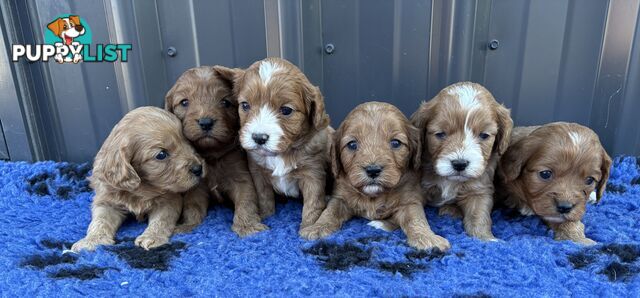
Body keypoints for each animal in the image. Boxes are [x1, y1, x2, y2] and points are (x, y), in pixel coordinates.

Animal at [71, 107, 204, 251]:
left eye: (187, 142)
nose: (199, 168)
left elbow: (161, 220)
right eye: (161, 154)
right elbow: (99, 221)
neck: (142, 187)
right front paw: (91, 240)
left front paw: (152, 237)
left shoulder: (169, 199)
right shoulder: (106, 200)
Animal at [165, 66, 268, 236]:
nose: (205, 122)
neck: (212, 155)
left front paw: (247, 226)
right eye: (184, 102)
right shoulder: (197, 187)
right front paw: (188, 225)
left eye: (225, 102)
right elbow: (192, 206)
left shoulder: (241, 177)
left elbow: (246, 200)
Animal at [216, 57, 336, 234]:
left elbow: (312, 202)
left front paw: (309, 225)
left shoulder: (312, 172)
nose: (258, 138)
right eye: (245, 105)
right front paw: (266, 215)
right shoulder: (257, 171)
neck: (281, 153)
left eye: (286, 110)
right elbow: (263, 196)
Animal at [300, 102, 450, 251]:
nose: (372, 170)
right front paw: (317, 227)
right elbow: (330, 212)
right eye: (352, 144)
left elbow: (416, 219)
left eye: (396, 143)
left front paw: (427, 237)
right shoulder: (340, 198)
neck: (373, 196)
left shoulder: (410, 200)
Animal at [410, 81, 516, 240]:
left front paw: (486, 238)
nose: (460, 164)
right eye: (440, 134)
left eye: (484, 135)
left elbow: (479, 215)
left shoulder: (479, 189)